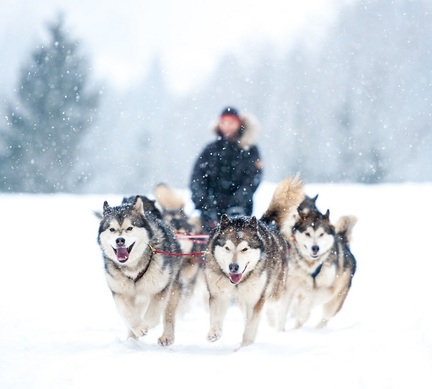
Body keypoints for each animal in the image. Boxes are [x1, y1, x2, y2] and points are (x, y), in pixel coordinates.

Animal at [97, 196, 185, 344]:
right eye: (112, 229)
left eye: (130, 228)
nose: (120, 240)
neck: (133, 267)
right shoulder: (120, 292)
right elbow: (128, 313)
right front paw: (138, 328)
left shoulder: (161, 289)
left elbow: (154, 315)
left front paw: (146, 324)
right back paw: (131, 339)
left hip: (172, 288)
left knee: (168, 313)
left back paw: (166, 336)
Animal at [205, 174, 304, 348]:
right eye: (227, 248)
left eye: (245, 249)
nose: (233, 267)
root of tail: (263, 222)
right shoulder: (218, 293)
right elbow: (216, 316)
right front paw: (214, 333)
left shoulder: (255, 298)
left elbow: (251, 325)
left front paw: (245, 346)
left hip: (274, 289)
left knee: (272, 304)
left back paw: (272, 320)